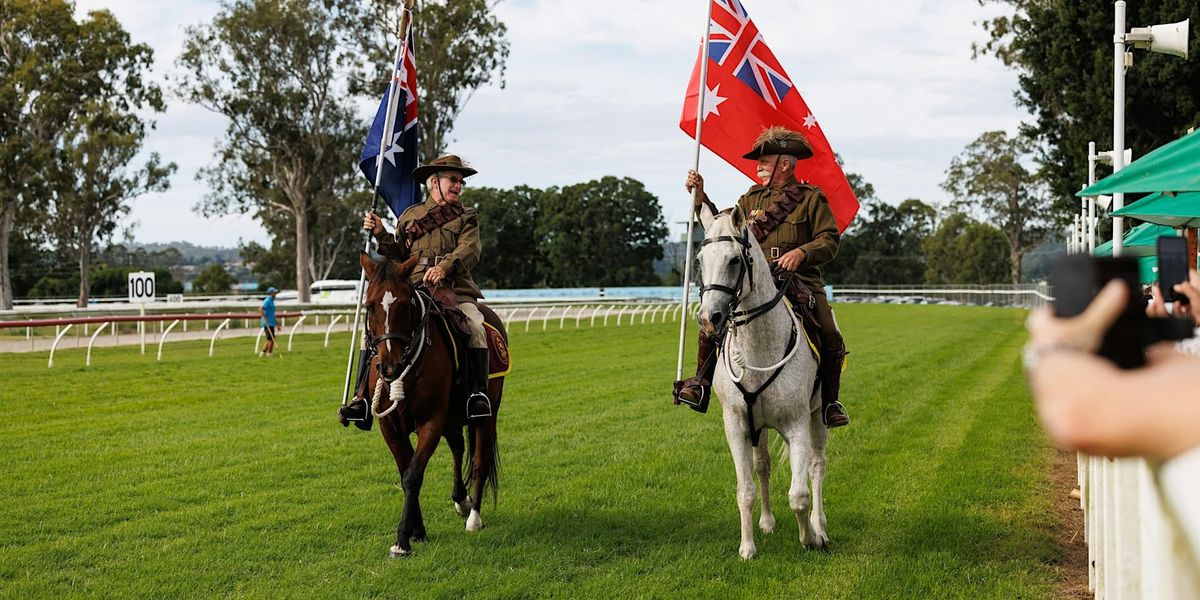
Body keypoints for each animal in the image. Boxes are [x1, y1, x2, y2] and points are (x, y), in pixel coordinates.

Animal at [357, 249, 504, 556]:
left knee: (479, 460)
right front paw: (417, 530)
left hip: (486, 415)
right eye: (370, 305)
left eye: (405, 305)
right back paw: (461, 499)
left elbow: (413, 475)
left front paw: (402, 540)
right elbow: (405, 472)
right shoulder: (390, 425)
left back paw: (474, 517)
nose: (389, 367)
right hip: (453, 419)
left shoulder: (431, 421)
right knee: (459, 448)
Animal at [700, 204, 830, 559]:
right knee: (763, 466)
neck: (758, 349)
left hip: (819, 416)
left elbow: (799, 495)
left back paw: (821, 527)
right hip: (759, 427)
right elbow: (745, 489)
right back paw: (768, 522)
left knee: (816, 466)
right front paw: (747, 548)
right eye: (700, 260)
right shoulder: (737, 425)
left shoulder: (797, 425)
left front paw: (809, 538)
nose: (708, 319)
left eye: (734, 260)